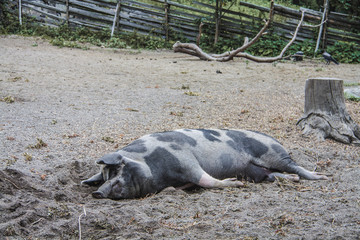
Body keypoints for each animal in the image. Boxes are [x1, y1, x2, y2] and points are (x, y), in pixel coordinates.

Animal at [81, 128, 326, 200]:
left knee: (294, 166)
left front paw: (235, 184)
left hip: (275, 153)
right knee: (271, 175)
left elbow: (206, 180)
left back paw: (321, 177)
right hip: (258, 169)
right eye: (103, 178)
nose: (97, 192)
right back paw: (291, 179)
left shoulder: (186, 159)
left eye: (117, 170)